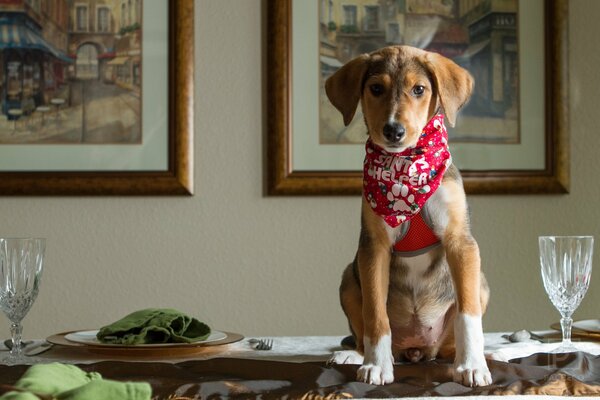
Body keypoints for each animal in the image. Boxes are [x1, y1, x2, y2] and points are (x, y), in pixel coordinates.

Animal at [326, 46, 490, 388]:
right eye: (376, 88)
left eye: (419, 89)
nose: (393, 130)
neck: (405, 167)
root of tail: (416, 350)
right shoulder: (373, 248)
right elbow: (376, 315)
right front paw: (376, 366)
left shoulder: (461, 244)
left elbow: (468, 315)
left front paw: (472, 366)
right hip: (349, 277)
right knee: (361, 334)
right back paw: (355, 355)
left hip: (480, 281)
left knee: (451, 341)